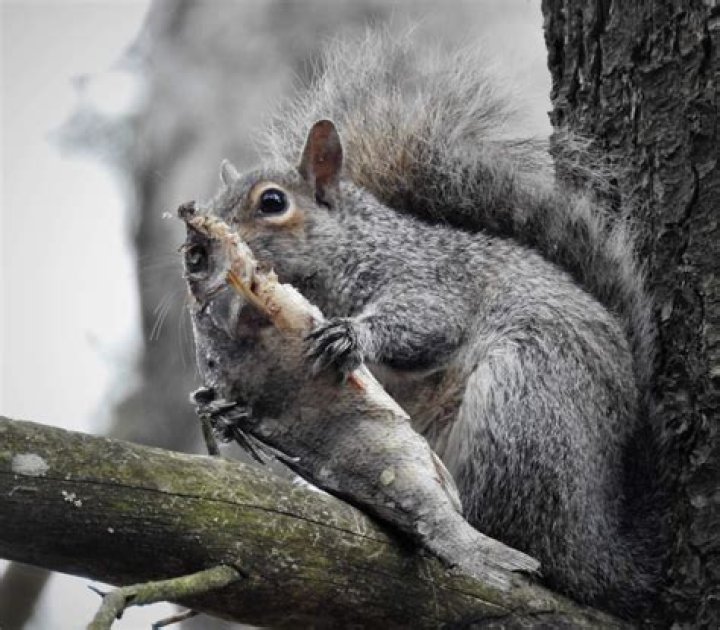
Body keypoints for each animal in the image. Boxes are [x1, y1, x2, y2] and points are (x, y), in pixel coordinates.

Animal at [205, 32, 661, 617]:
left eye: (272, 202)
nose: (203, 244)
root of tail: (597, 550)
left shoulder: (431, 275)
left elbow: (429, 322)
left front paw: (351, 334)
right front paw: (223, 407)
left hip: (524, 400)